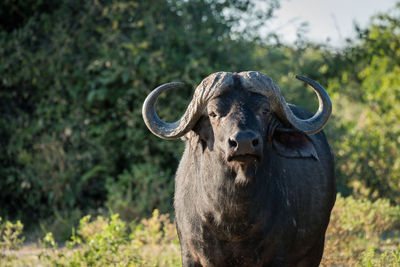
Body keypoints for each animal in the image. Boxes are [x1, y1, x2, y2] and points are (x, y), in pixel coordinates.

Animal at [142, 71, 336, 267]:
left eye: (265, 111)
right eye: (213, 113)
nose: (244, 142)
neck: (233, 219)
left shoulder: (278, 256)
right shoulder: (190, 255)